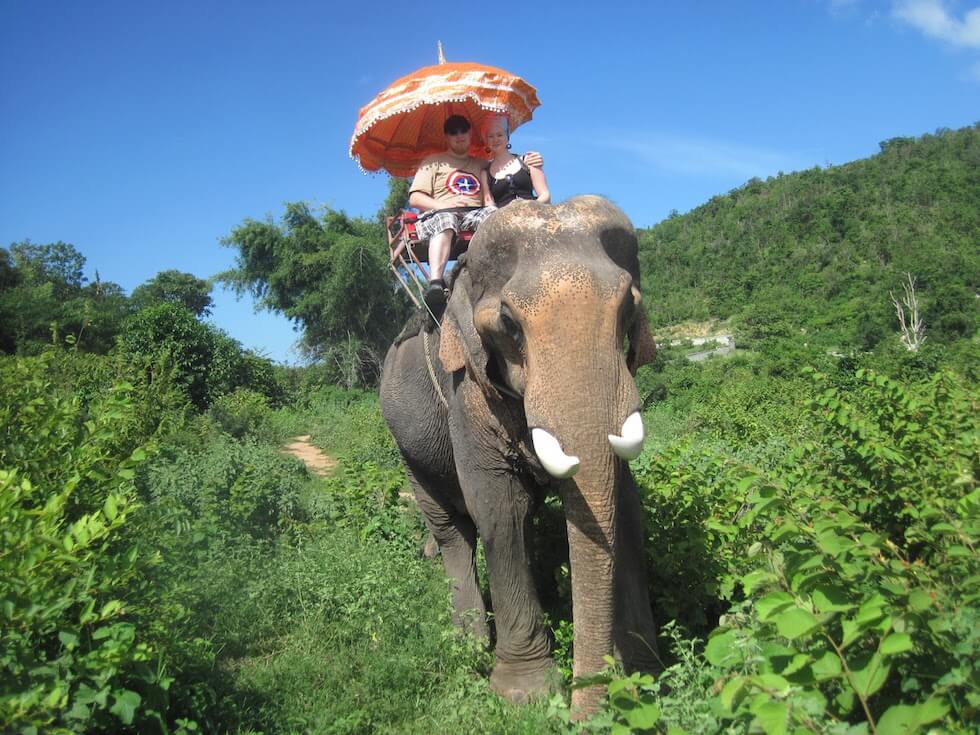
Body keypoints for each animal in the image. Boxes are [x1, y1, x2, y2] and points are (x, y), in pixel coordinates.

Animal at [379, 195, 660, 715]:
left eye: (628, 308)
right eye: (508, 323)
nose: (582, 717)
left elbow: (626, 508)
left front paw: (646, 678)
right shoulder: (467, 389)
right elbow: (498, 509)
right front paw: (523, 694)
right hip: (406, 445)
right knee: (453, 531)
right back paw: (470, 644)